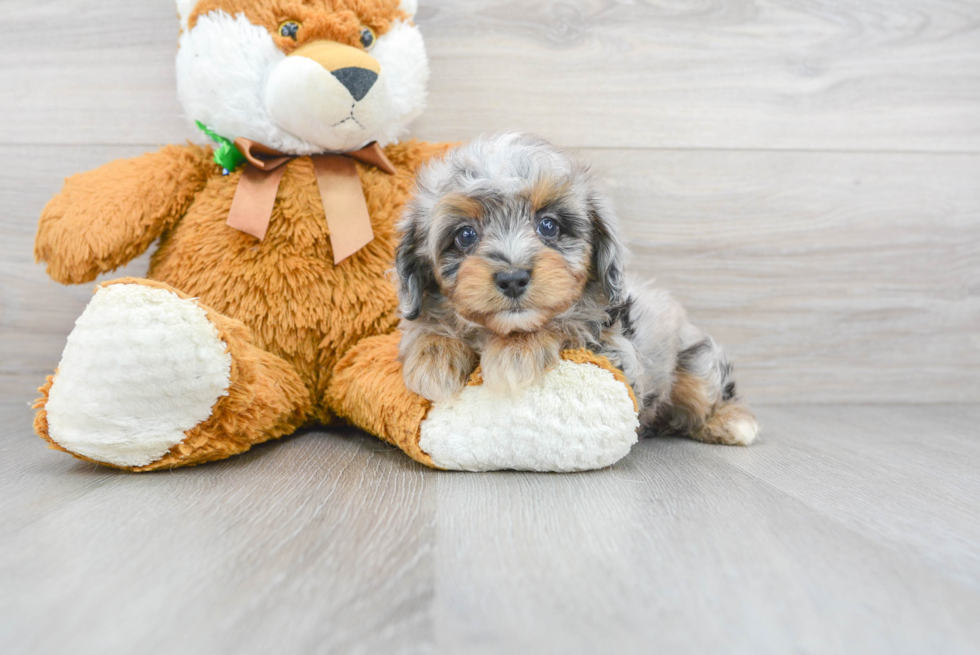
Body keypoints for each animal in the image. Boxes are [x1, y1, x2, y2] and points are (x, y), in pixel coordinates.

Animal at [394, 136, 760, 448]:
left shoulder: (616, 356)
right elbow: (427, 327)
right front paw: (433, 356)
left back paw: (733, 423)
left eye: (549, 226)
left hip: (697, 362)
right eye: (465, 235)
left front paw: (516, 352)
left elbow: (567, 323)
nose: (513, 278)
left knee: (710, 396)